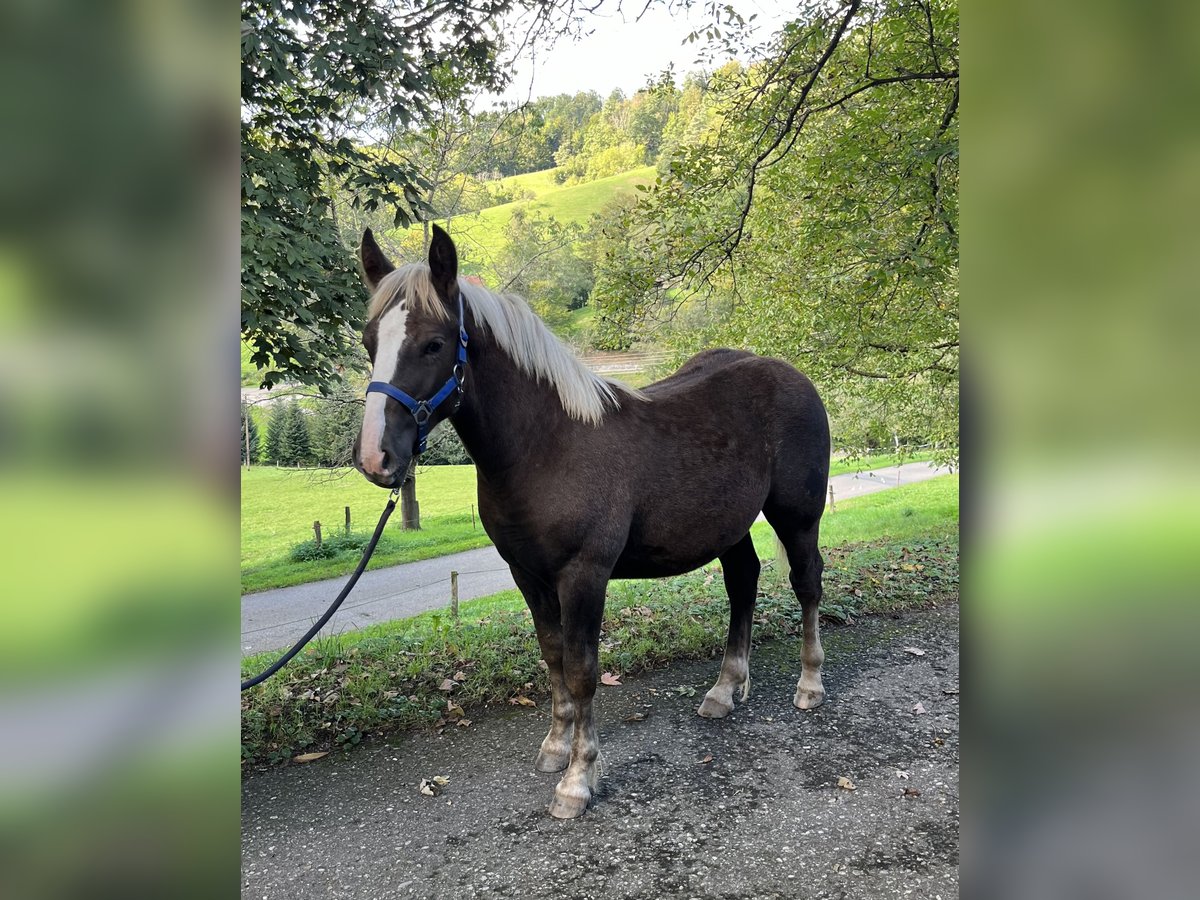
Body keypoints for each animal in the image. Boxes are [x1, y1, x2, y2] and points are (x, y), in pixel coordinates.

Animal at [350, 224, 830, 816]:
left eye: (433, 344)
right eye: (370, 342)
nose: (377, 458)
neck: (547, 446)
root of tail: (793, 376)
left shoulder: (583, 575)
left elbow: (582, 672)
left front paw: (578, 779)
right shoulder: (529, 575)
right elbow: (553, 658)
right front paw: (556, 748)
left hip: (798, 516)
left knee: (806, 582)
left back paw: (810, 684)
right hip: (729, 526)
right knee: (743, 581)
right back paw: (723, 690)